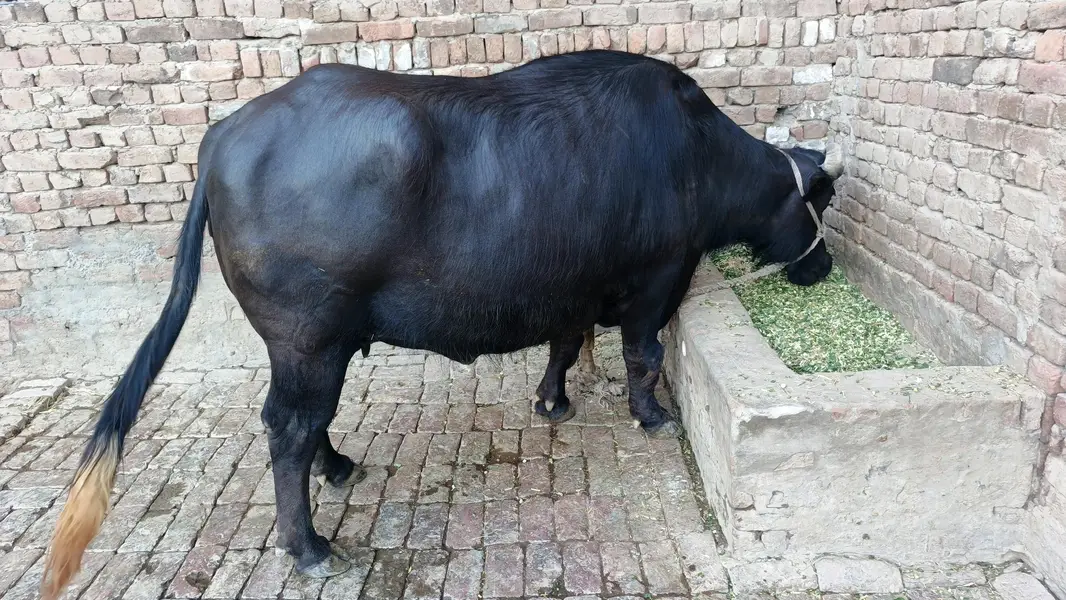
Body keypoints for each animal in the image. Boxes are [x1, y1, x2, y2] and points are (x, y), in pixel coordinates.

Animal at [41, 49, 842, 598]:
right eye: (821, 201)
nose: (824, 267)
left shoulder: (571, 292)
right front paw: (652, 416)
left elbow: (564, 345)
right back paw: (310, 546)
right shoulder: (656, 283)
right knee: (289, 427)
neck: (694, 159)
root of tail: (222, 138)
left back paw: (338, 467)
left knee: (303, 421)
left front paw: (553, 400)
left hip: (310, 347)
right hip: (308, 338)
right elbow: (641, 357)